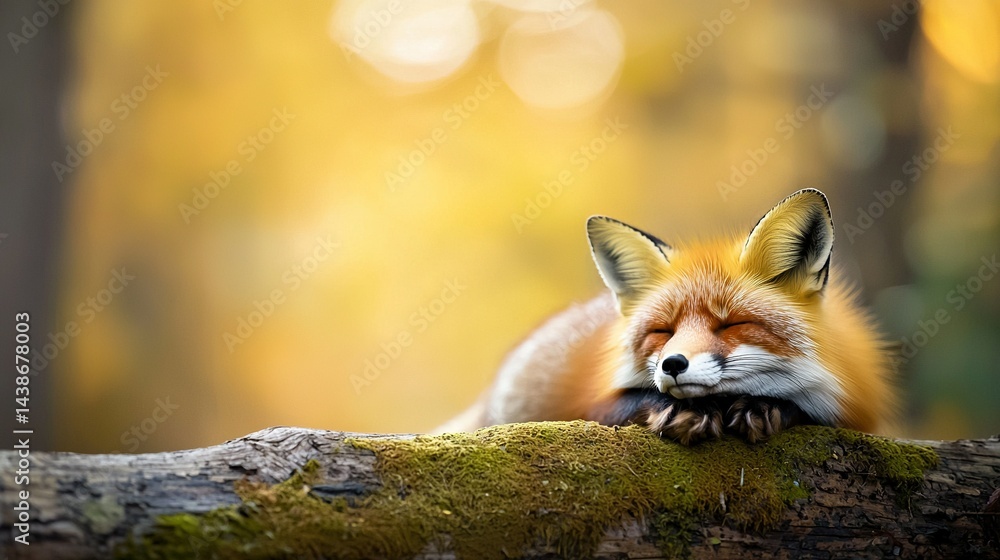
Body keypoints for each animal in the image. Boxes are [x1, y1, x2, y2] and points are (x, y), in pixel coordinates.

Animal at [438, 189, 895, 444]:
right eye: (663, 331)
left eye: (731, 324)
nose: (673, 364)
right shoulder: (586, 404)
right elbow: (627, 401)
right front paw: (679, 409)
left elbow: (810, 408)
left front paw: (762, 406)